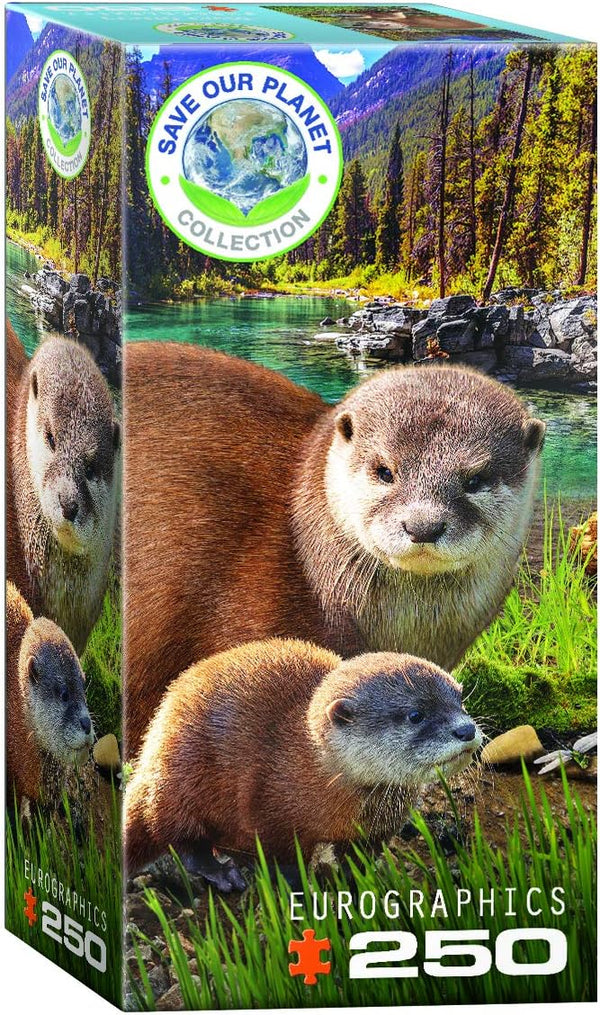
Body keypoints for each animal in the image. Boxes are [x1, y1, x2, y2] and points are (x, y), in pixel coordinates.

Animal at [125, 639, 481, 886]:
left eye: (460, 698)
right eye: (415, 714)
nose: (466, 729)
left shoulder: (375, 831)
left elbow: (361, 858)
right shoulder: (270, 809)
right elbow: (283, 858)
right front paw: (300, 888)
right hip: (182, 778)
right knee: (176, 836)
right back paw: (222, 873)